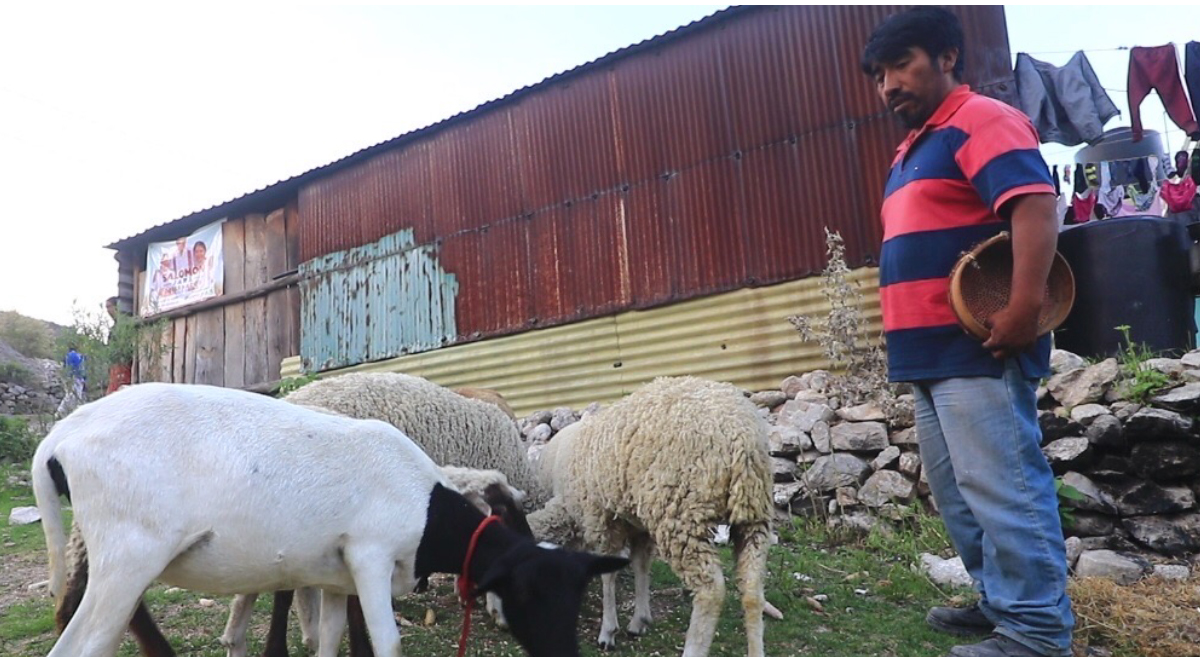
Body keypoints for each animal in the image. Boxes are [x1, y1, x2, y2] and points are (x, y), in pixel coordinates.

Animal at [35, 381, 628, 657]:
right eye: (530, 593)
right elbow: (387, 643)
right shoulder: (369, 559)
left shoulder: (337, 578)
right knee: (77, 645)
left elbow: (330, 639)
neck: (427, 506)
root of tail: (61, 436)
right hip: (126, 559)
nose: (563, 653)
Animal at [530, 374, 772, 657]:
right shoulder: (637, 525)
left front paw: (608, 630)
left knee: (711, 591)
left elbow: (608, 575)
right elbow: (641, 565)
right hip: (754, 514)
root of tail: (741, 435)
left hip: (681, 514)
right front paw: (639, 620)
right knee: (752, 588)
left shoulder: (601, 519)